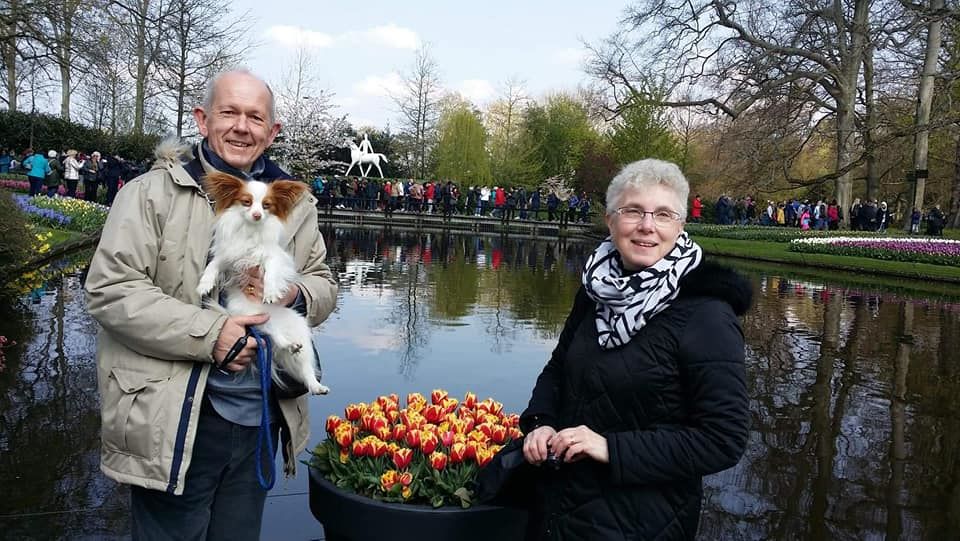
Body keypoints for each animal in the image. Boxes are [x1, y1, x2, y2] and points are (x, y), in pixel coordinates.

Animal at [195, 171, 330, 394]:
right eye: (246, 202)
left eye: (266, 205)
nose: (257, 215)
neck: (251, 231)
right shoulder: (229, 256)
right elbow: (213, 265)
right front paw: (204, 284)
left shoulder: (274, 256)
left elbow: (271, 272)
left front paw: (270, 292)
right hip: (255, 319)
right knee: (273, 334)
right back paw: (286, 344)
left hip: (298, 328)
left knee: (304, 366)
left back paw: (315, 384)